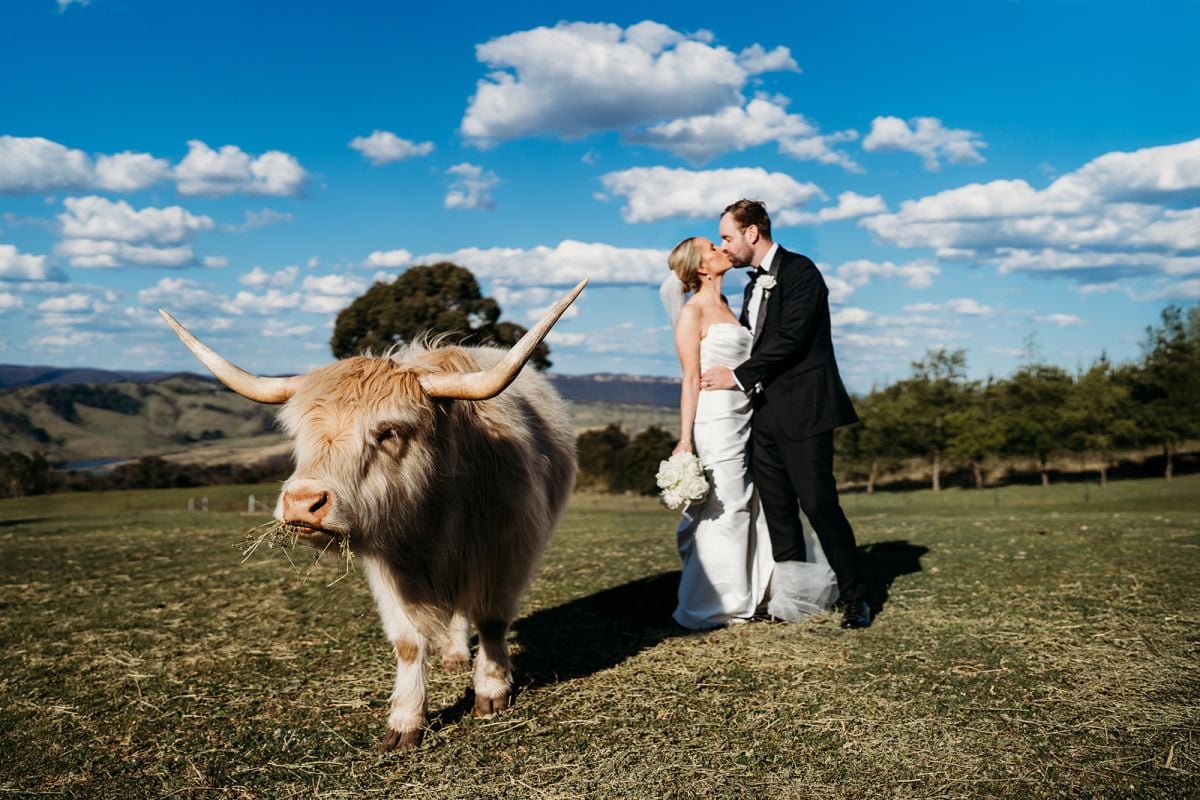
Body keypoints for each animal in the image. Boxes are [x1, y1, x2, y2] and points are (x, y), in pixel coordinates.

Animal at [160, 279, 586, 750]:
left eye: (388, 431)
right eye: (299, 433)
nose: (302, 502)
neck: (438, 510)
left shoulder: (506, 552)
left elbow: (492, 620)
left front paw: (491, 690)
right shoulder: (390, 569)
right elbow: (409, 643)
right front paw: (406, 719)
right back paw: (455, 654)